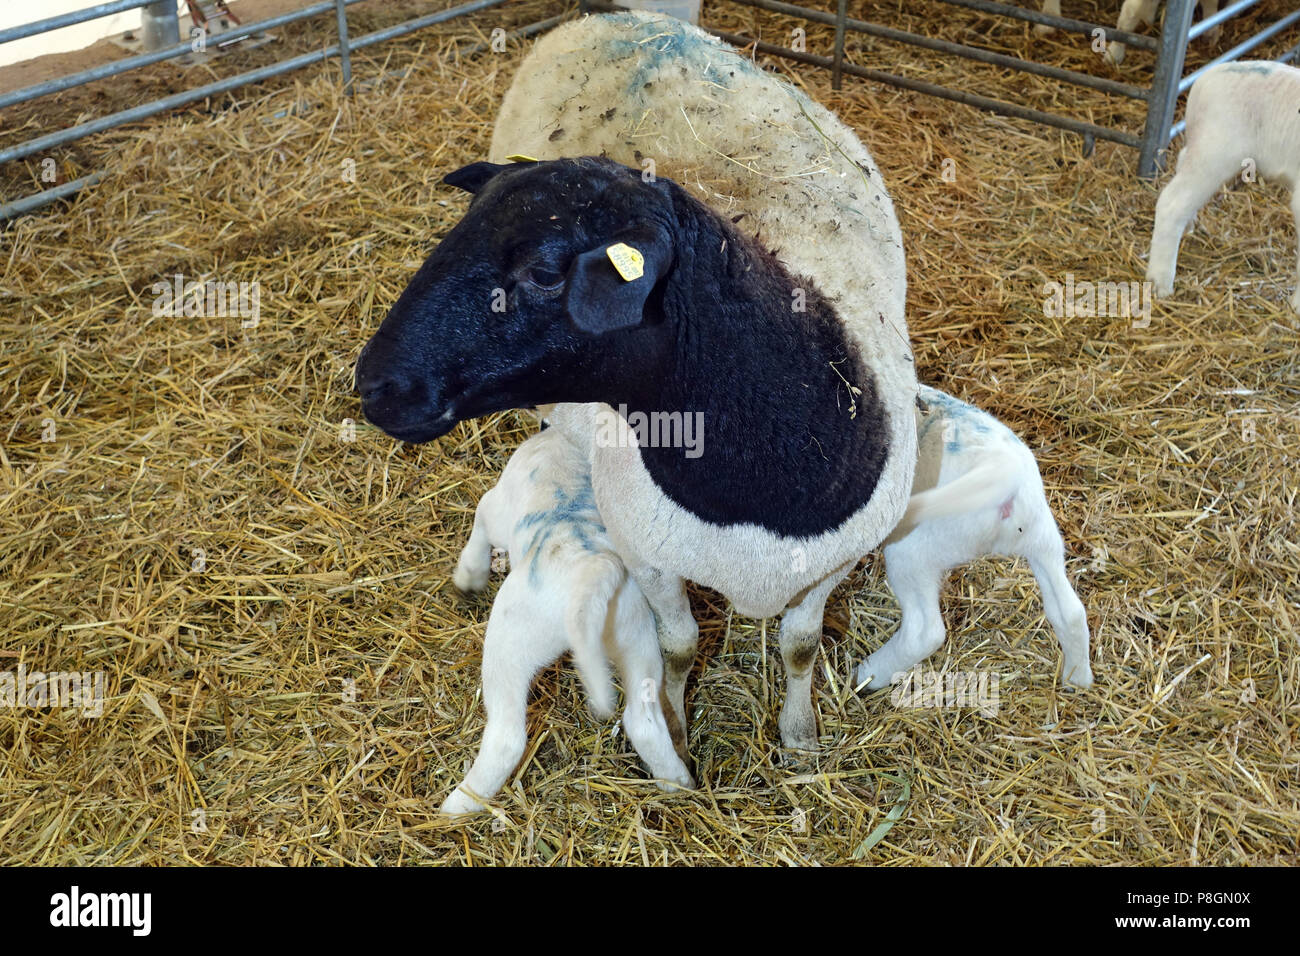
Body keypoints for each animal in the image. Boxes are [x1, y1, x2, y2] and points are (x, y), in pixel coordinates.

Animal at [439, 424, 702, 816]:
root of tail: (594, 568)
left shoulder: (495, 507)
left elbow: (480, 520)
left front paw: (469, 576)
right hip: (637, 635)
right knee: (643, 721)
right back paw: (678, 781)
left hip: (510, 638)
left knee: (506, 737)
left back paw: (457, 805)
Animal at [852, 385, 1097, 691]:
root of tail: (1003, 470)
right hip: (1042, 536)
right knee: (1070, 611)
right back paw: (1078, 679)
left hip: (913, 552)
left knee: (924, 632)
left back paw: (865, 675)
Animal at [1149, 59, 1300, 314]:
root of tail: (1205, 79)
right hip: (1215, 153)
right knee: (1172, 202)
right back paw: (1159, 282)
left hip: (1203, 149)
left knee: (1182, 163)